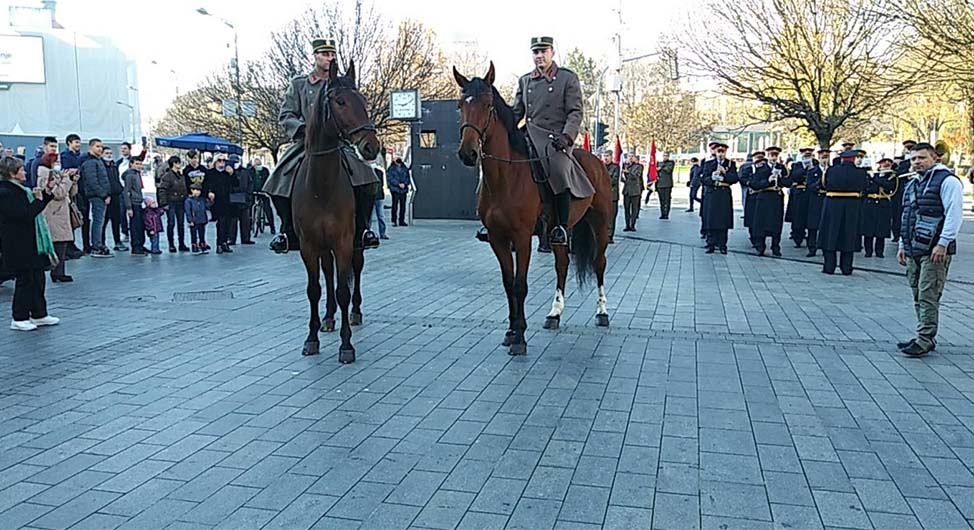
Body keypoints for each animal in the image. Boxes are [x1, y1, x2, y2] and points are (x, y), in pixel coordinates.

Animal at [292, 59, 380, 360]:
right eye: (340, 101)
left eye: (364, 100)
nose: (371, 146)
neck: (322, 186)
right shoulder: (308, 245)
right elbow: (314, 289)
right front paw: (311, 338)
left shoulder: (343, 241)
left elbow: (343, 289)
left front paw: (346, 344)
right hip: (322, 247)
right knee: (328, 275)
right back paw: (329, 318)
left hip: (355, 242)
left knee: (356, 270)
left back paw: (354, 312)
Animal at [456, 60, 608, 354]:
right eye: (460, 105)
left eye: (488, 105)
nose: (468, 153)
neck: (505, 176)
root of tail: (596, 160)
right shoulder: (498, 238)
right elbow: (508, 284)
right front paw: (511, 330)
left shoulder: (523, 237)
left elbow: (520, 285)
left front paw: (520, 337)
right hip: (559, 231)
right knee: (562, 265)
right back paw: (554, 314)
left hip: (601, 224)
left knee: (599, 264)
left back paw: (602, 313)